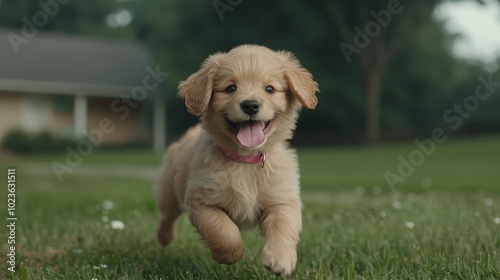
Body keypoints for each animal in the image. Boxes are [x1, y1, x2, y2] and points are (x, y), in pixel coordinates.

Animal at [154, 44, 318, 276]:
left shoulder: (282, 199)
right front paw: (230, 255)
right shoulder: (202, 202)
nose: (250, 105)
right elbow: (223, 230)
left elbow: (283, 225)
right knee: (167, 216)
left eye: (270, 89)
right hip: (168, 190)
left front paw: (280, 259)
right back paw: (164, 238)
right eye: (230, 88)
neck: (245, 160)